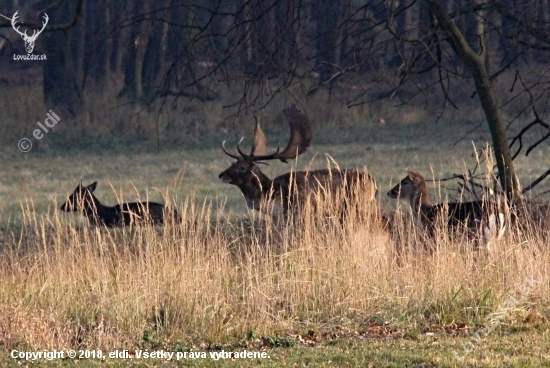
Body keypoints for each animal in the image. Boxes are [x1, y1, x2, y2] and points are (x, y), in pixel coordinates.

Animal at [220, 103, 380, 218]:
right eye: (233, 163)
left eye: (242, 167)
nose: (221, 175)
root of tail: (374, 183)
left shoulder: (298, 212)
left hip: (358, 204)